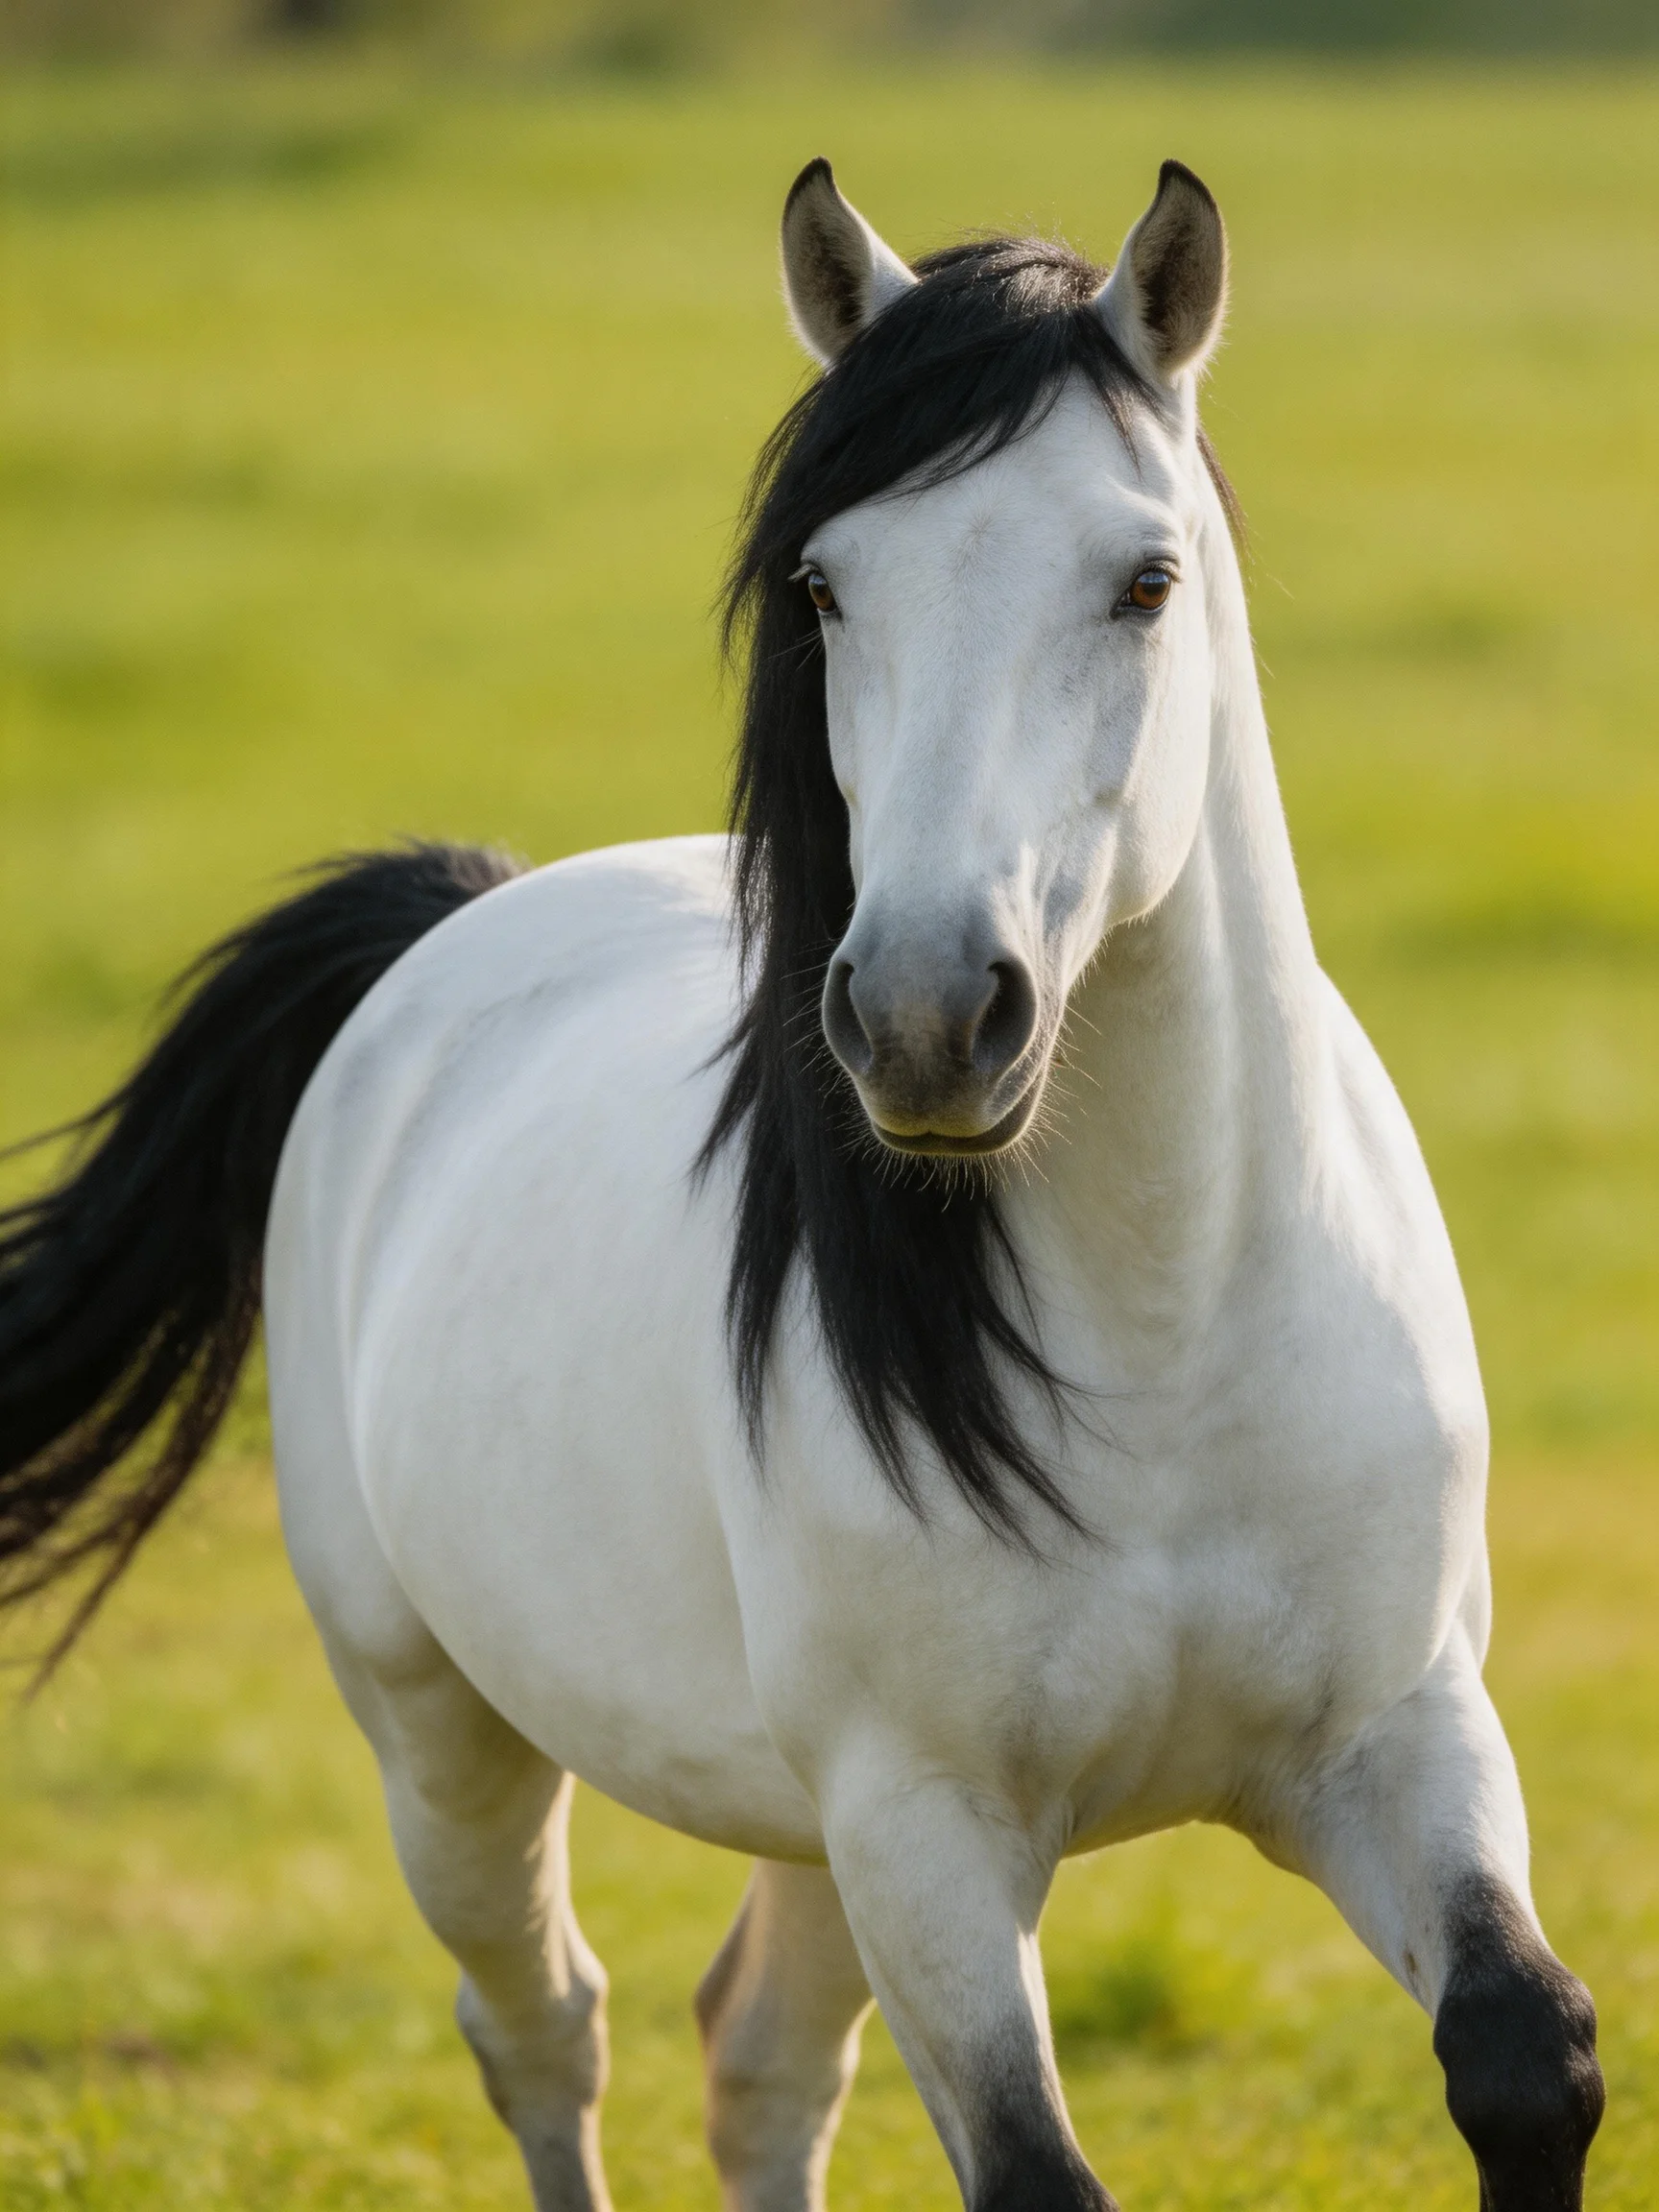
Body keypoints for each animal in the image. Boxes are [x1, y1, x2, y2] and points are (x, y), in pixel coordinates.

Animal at [0, 158, 1603, 2212]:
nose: (925, 1013)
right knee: (547, 2027)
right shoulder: (923, 1824)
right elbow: (1032, 2168)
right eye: (825, 585)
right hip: (449, 1742)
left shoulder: (1398, 1736)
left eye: (1143, 580)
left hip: (801, 1833)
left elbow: (1521, 2057)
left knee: (755, 2059)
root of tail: (448, 921)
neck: (1170, 1334)